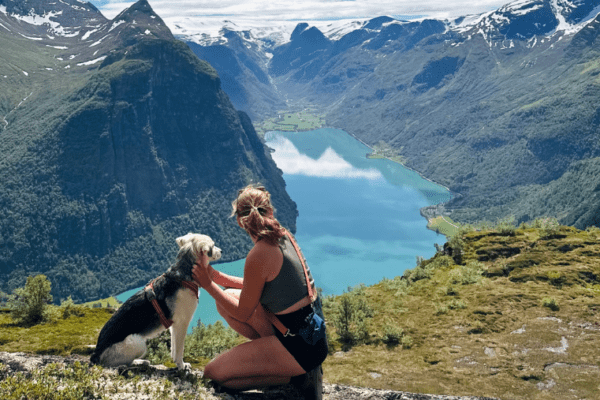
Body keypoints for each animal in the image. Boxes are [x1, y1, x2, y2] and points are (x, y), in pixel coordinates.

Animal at [89, 234, 220, 368]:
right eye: (213, 245)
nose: (221, 251)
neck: (182, 276)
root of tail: (95, 355)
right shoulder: (182, 322)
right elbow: (179, 349)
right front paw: (181, 365)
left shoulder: (174, 325)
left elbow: (174, 347)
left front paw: (175, 361)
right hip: (137, 342)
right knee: (118, 364)